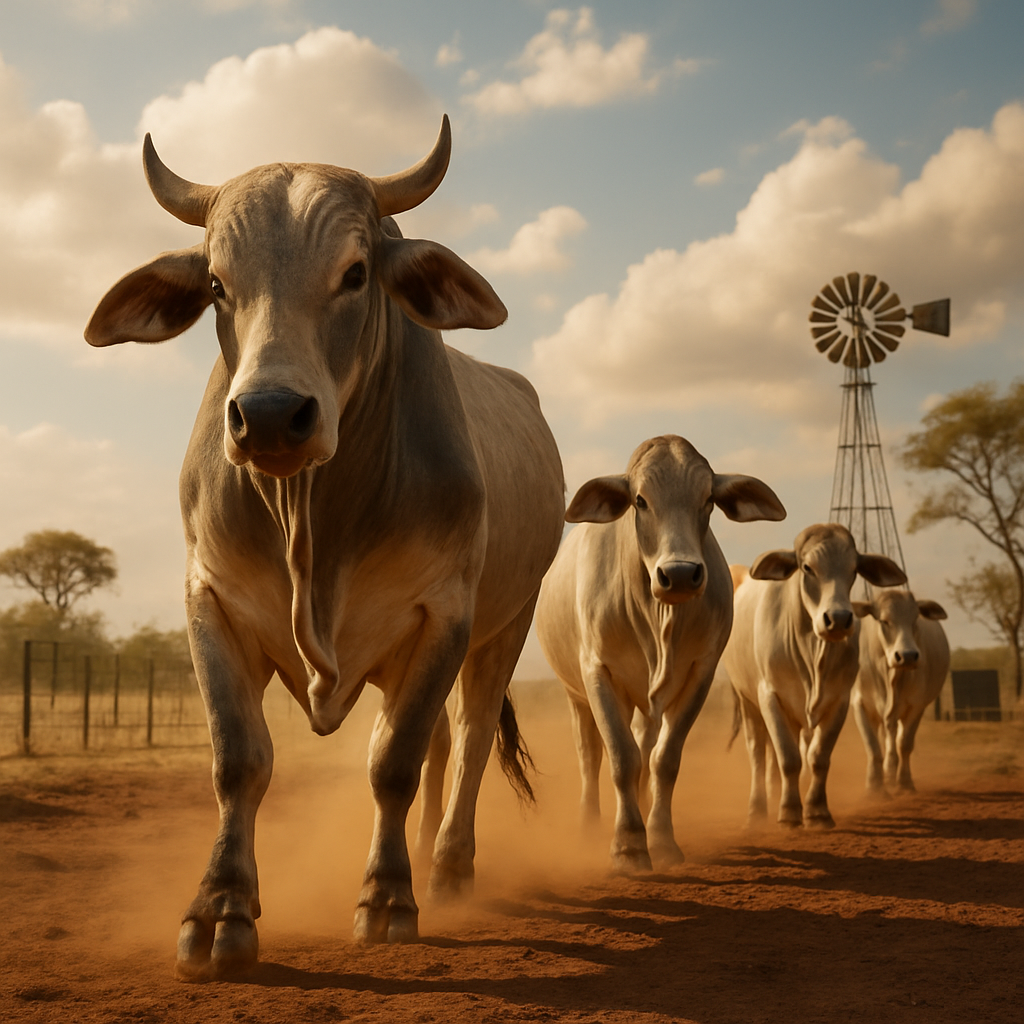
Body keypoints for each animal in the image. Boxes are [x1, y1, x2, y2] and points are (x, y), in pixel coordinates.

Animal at [84, 116, 565, 980]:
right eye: (216, 284)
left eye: (356, 273)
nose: (272, 415)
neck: (315, 530)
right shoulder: (211, 600)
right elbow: (240, 759)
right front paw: (220, 911)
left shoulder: (443, 612)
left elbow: (392, 761)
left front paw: (387, 899)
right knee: (442, 742)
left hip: (503, 628)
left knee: (469, 739)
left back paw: (447, 868)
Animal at [534, 436, 786, 871]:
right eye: (640, 500)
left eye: (708, 499)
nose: (681, 574)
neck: (658, 619)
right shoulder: (597, 672)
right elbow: (621, 758)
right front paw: (628, 846)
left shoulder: (700, 674)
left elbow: (664, 761)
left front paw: (661, 840)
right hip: (575, 694)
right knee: (590, 755)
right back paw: (589, 825)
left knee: (645, 743)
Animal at [721, 524, 906, 828]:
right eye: (807, 567)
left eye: (854, 569)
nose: (838, 619)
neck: (812, 651)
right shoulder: (770, 695)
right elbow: (788, 758)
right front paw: (788, 813)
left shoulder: (839, 699)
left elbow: (818, 757)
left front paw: (817, 812)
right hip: (747, 701)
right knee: (758, 753)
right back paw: (757, 810)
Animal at [852, 590, 950, 793]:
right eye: (884, 621)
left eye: (915, 619)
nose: (907, 656)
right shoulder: (859, 703)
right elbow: (872, 745)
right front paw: (874, 786)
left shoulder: (916, 706)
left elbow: (904, 744)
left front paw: (905, 783)